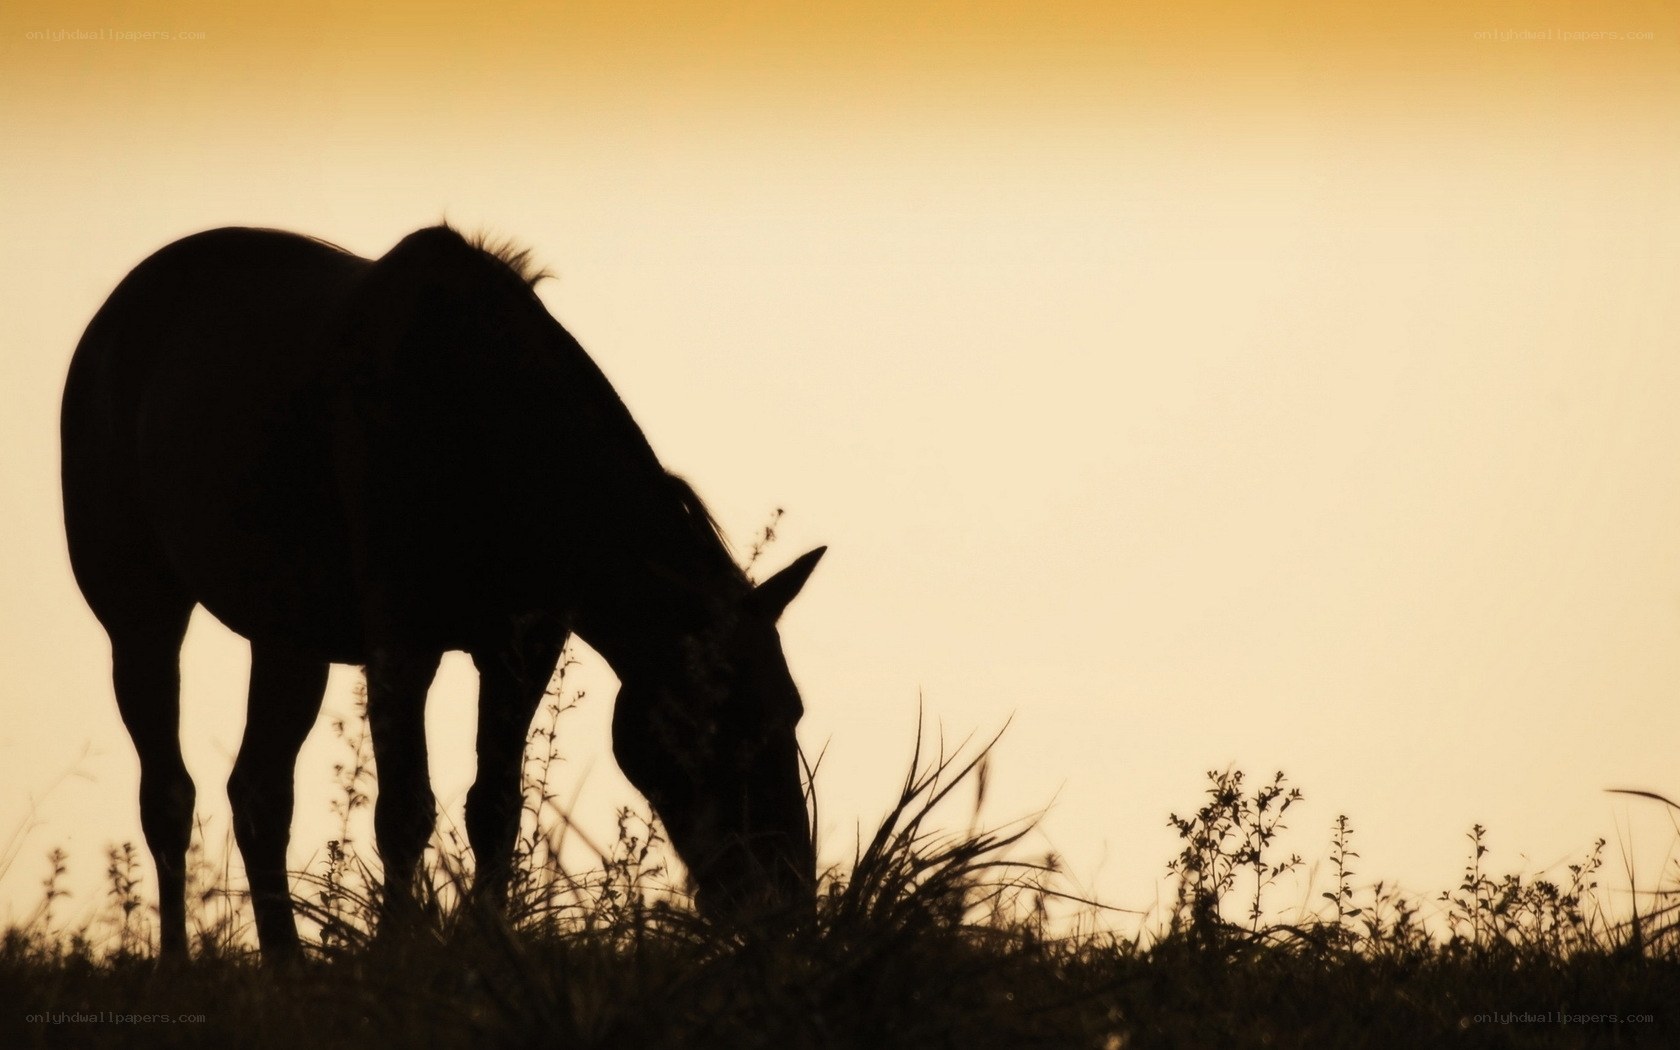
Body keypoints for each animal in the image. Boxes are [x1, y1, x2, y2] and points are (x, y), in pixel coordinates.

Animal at [60, 225, 825, 960]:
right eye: (722, 722)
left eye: (792, 711)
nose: (785, 898)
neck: (482, 422)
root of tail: (106, 325)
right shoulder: (402, 642)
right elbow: (403, 811)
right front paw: (397, 954)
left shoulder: (521, 647)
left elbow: (494, 807)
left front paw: (491, 943)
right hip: (141, 616)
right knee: (168, 794)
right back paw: (177, 965)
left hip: (288, 640)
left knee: (259, 794)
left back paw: (286, 965)